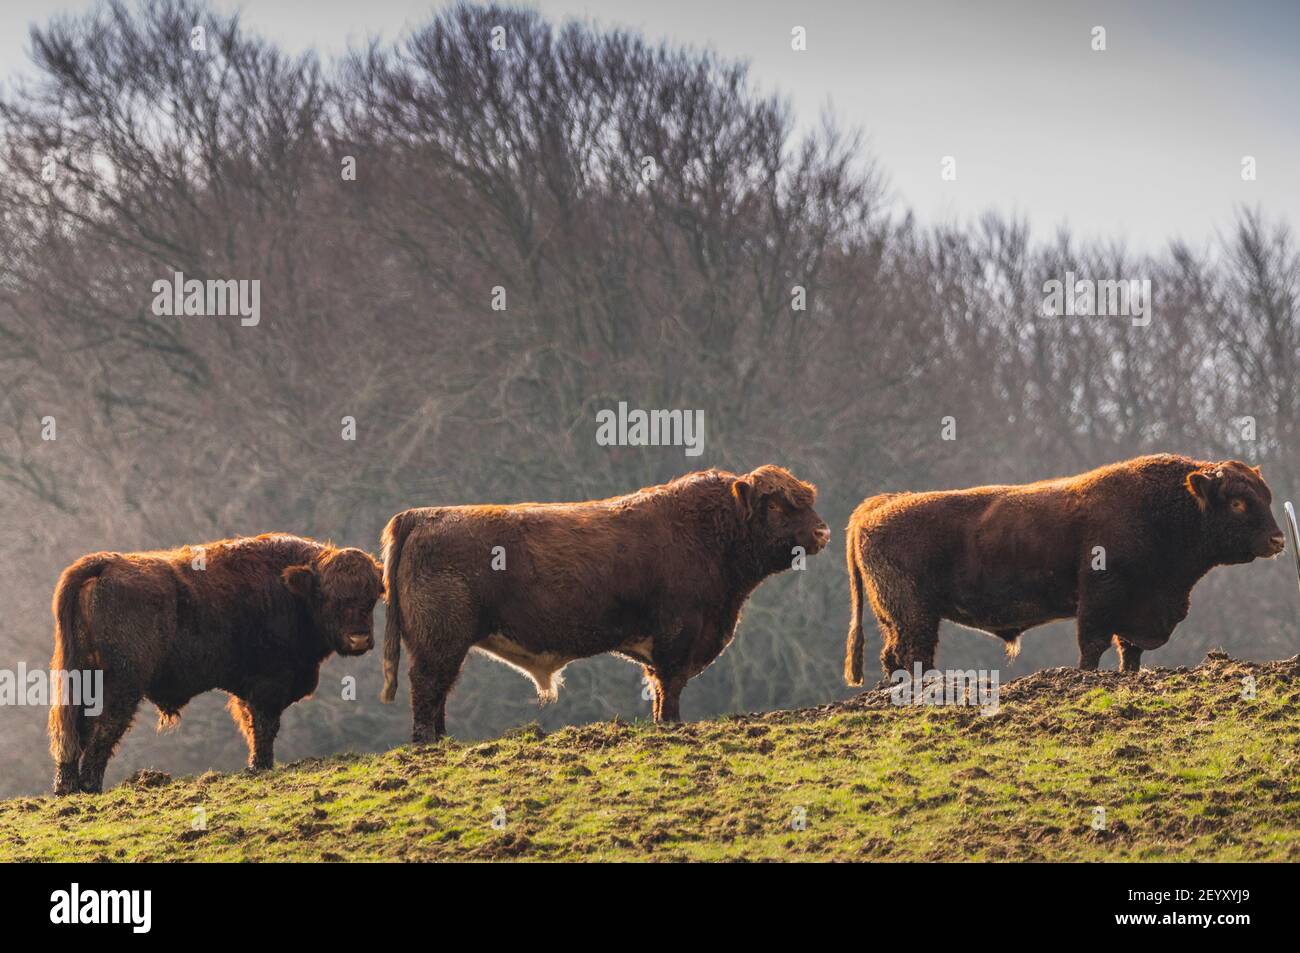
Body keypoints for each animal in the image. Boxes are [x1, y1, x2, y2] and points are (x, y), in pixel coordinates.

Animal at [49, 534, 384, 794]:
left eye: (371, 598)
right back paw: (90, 787)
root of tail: (107, 563)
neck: (291, 589)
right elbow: (263, 726)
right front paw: (261, 766)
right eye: (330, 598)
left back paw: (67, 789)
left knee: (73, 729)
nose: (358, 639)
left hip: (82, 679)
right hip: (121, 685)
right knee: (102, 727)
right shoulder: (268, 684)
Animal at [379, 465, 830, 740]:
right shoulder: (677, 635)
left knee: (438, 693)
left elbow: (660, 687)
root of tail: (421, 515)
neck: (711, 531)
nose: (823, 531)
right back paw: (429, 744)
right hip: (440, 645)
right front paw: (671, 725)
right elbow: (670, 686)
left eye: (808, 499)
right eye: (777, 504)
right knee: (428, 689)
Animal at [844, 454, 1284, 684]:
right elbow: (1093, 646)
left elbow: (1130, 650)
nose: (1279, 540)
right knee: (913, 655)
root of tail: (879, 505)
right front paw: (1086, 677)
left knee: (893, 656)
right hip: (915, 617)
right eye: (1238, 502)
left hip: (897, 618)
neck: (1166, 507)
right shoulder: (1100, 601)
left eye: (1266, 496)